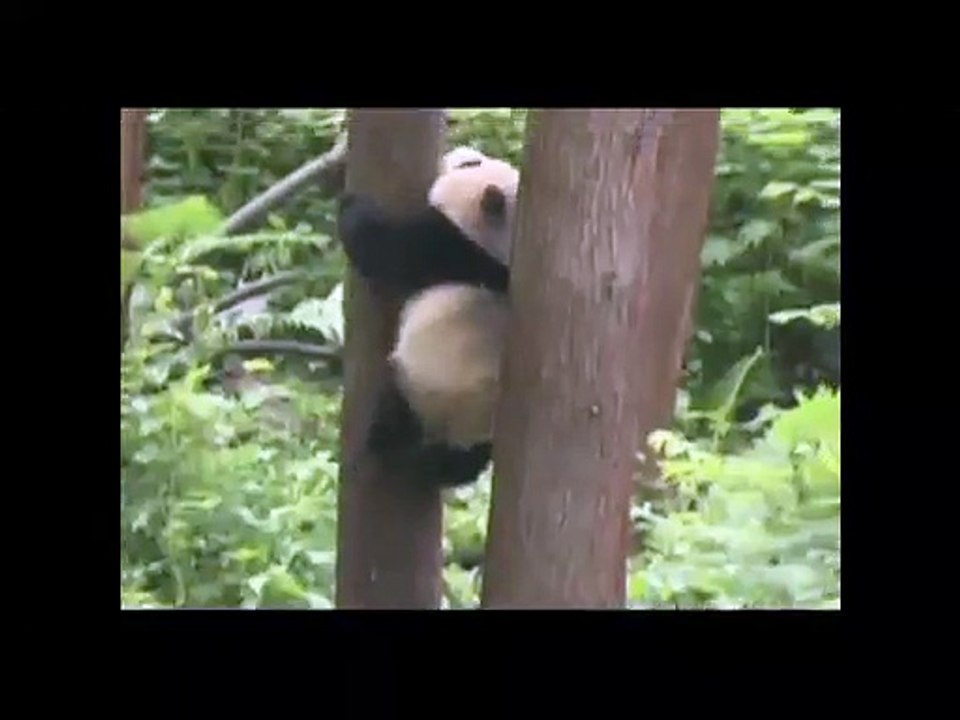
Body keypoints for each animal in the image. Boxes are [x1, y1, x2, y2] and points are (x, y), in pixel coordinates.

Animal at [337, 150, 520, 488]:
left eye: (470, 165)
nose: (459, 152)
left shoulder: (451, 248)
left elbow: (387, 251)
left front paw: (351, 205)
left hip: (422, 381)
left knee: (396, 408)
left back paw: (387, 441)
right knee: (465, 464)